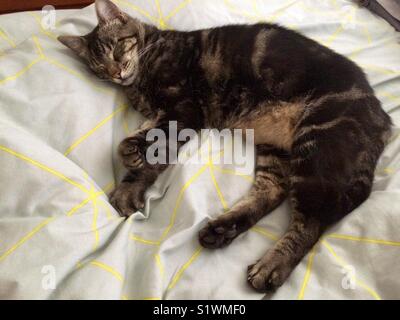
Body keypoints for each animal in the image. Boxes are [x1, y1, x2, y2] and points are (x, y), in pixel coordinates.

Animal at [57, 0, 392, 292]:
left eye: (116, 48)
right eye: (99, 68)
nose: (116, 72)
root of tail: (384, 119)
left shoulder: (183, 110)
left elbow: (151, 141)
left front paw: (130, 156)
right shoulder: (169, 116)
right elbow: (157, 155)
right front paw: (131, 187)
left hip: (316, 149)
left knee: (312, 222)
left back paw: (272, 265)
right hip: (276, 149)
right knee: (273, 191)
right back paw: (222, 229)